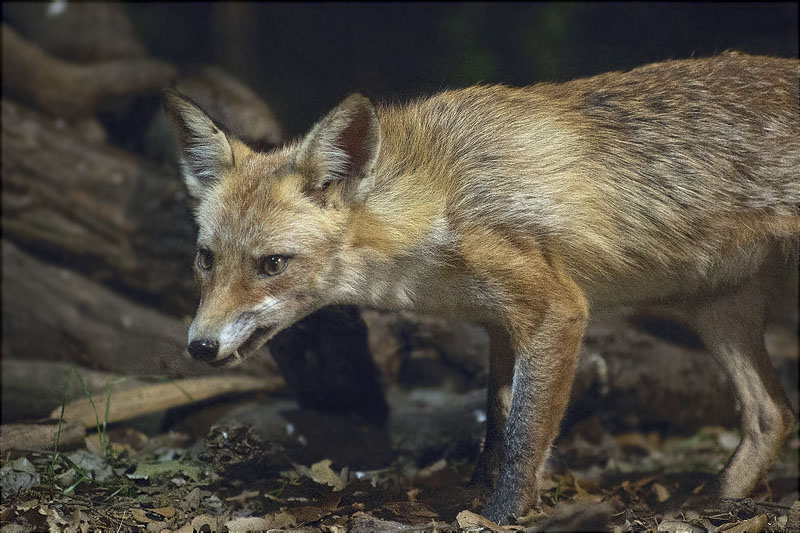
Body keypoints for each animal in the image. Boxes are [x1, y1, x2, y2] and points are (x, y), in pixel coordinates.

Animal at [164, 52, 800, 520]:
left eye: (272, 264)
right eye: (205, 259)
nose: (199, 346)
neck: (439, 195)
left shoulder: (557, 308)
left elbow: (524, 434)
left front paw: (502, 513)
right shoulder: (498, 321)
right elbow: (496, 423)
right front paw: (474, 493)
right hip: (718, 312)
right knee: (773, 414)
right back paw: (717, 500)